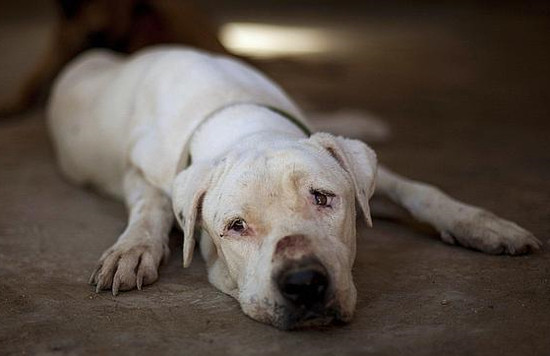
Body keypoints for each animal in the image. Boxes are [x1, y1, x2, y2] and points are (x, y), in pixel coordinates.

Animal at [46, 46, 544, 330]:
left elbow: (420, 191)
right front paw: (132, 250)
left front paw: (484, 225)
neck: (240, 117)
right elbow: (152, 205)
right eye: (235, 226)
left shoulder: (362, 178)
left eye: (323, 198)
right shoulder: (139, 170)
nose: (304, 283)